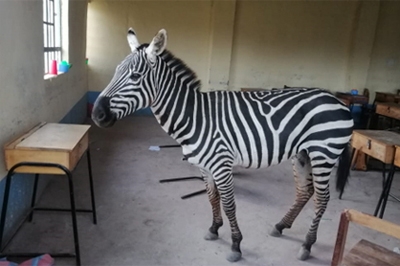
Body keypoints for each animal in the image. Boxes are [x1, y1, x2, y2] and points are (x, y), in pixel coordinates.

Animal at [92, 28, 354, 262]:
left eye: (135, 77)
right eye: (115, 72)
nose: (97, 114)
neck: (194, 116)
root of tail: (338, 101)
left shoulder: (221, 163)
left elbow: (229, 204)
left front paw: (236, 245)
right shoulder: (204, 166)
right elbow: (211, 198)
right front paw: (214, 229)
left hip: (324, 153)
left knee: (322, 198)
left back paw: (307, 245)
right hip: (302, 154)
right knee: (304, 192)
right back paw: (280, 226)